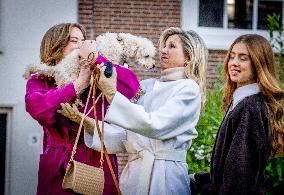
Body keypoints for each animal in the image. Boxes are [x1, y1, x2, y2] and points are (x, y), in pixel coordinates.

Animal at [23, 32, 156, 87]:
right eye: (147, 56)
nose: (154, 65)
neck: (120, 44)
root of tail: (57, 68)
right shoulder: (111, 59)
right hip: (68, 80)